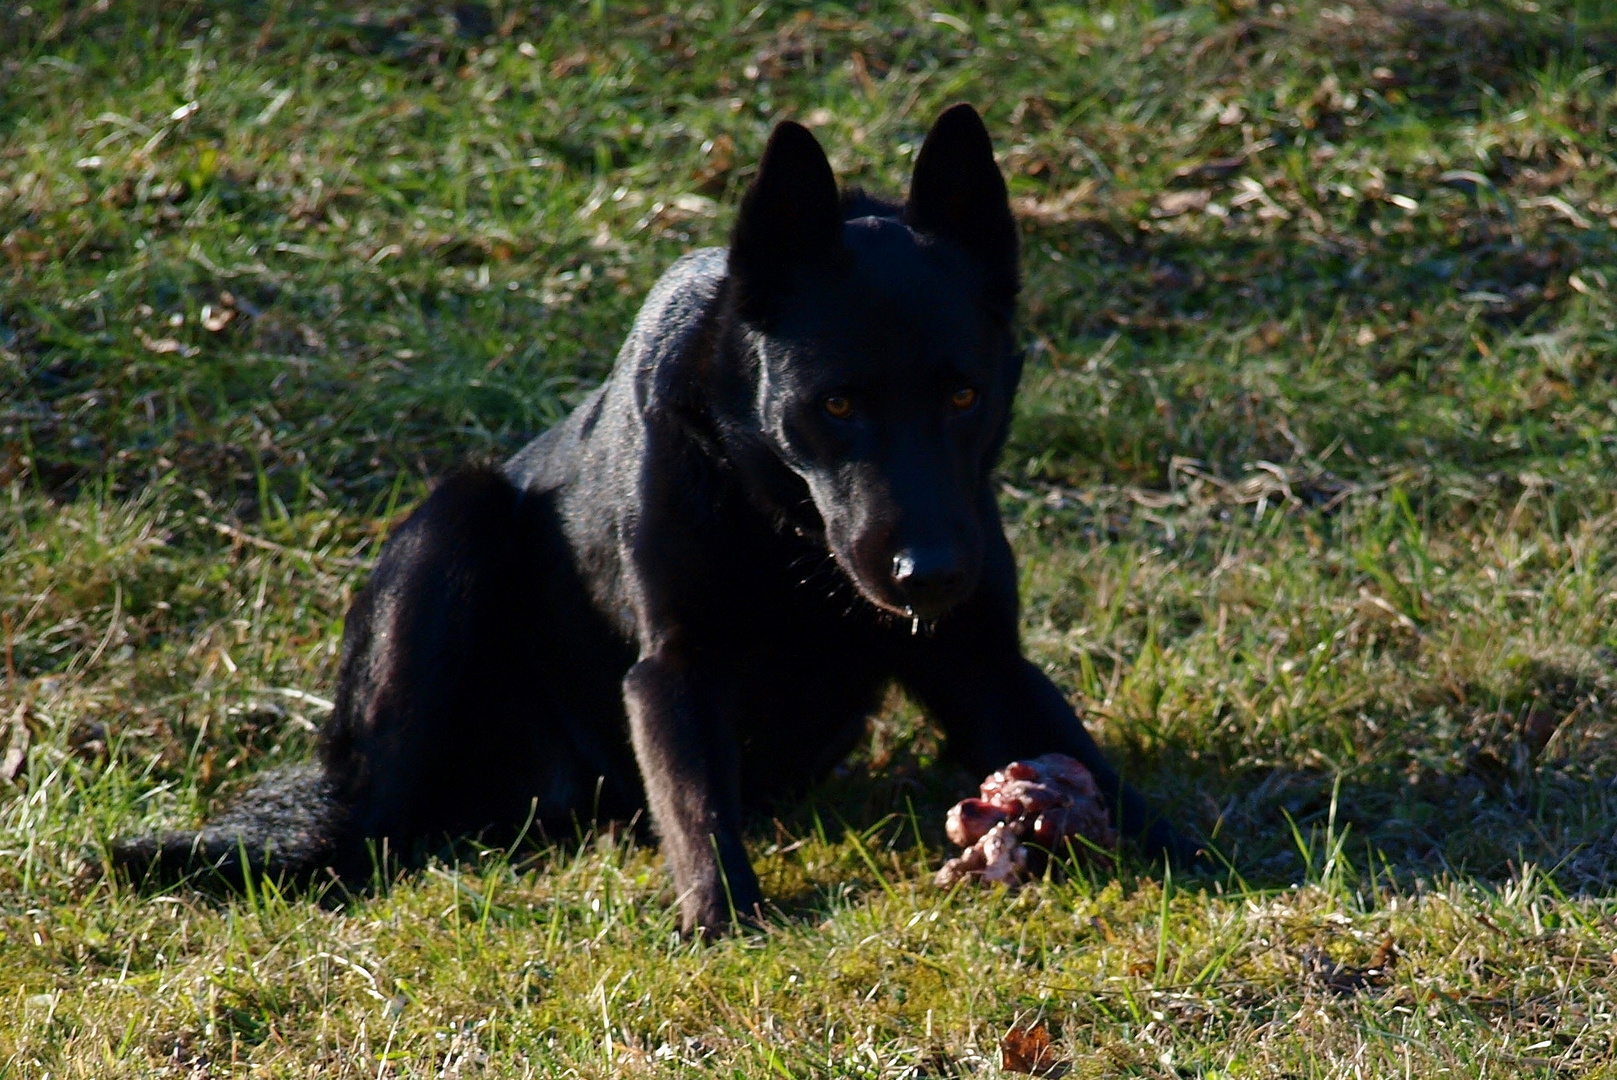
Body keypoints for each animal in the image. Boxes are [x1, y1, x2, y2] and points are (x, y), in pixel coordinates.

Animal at [113, 103, 1196, 937]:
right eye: (838, 405)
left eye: (965, 397)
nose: (929, 574)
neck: (785, 532)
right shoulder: (673, 669)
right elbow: (696, 804)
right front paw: (726, 921)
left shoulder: (981, 660)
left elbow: (1093, 763)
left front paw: (1194, 848)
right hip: (454, 522)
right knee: (369, 824)